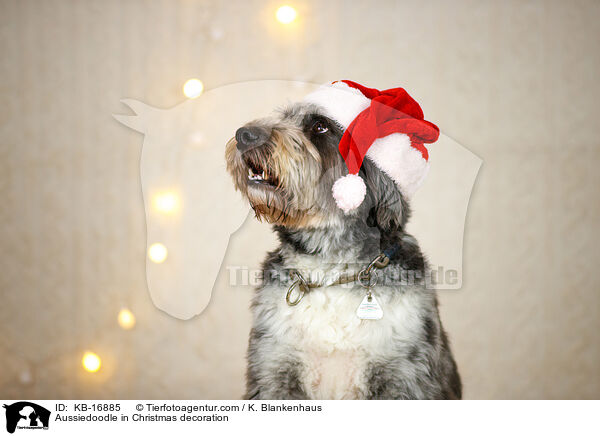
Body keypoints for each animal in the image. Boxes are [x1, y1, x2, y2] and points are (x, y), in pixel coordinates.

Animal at [223, 83, 462, 400]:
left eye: (320, 126)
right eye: (284, 117)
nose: (244, 135)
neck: (330, 272)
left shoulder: (403, 376)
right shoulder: (274, 371)